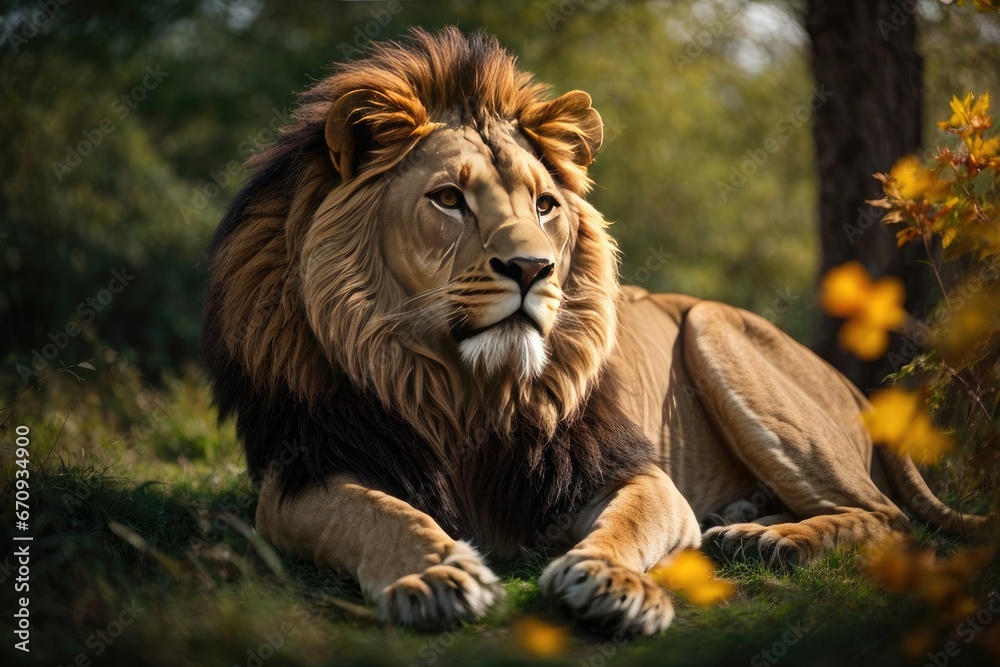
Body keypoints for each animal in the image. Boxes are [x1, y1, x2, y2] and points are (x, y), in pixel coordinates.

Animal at [201, 27, 984, 636]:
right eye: (448, 199)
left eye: (544, 204)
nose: (531, 268)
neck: (465, 390)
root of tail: (855, 388)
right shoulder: (303, 472)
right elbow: (380, 514)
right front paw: (436, 576)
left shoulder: (628, 469)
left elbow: (628, 523)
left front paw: (611, 583)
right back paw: (745, 516)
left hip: (712, 325)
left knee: (884, 515)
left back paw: (767, 541)